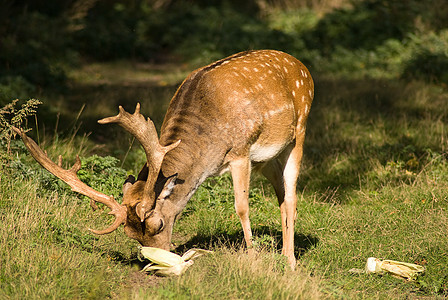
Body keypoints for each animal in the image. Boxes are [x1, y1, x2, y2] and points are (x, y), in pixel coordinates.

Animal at [14, 49, 316, 270]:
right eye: (132, 236)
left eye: (158, 224)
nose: (158, 259)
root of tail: (303, 66)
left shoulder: (240, 151)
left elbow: (241, 207)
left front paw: (252, 258)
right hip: (267, 159)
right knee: (282, 196)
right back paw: (285, 252)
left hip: (299, 131)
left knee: (292, 196)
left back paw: (290, 261)